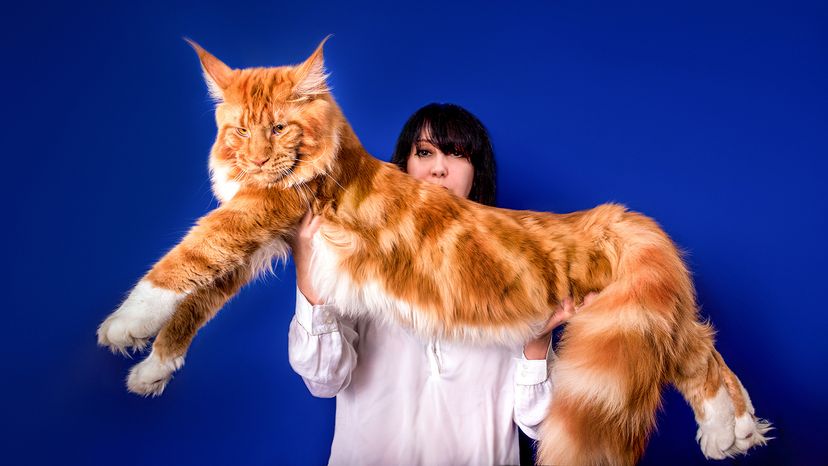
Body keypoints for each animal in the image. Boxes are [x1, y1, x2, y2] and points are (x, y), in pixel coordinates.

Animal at [95, 40, 768, 466]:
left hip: (629, 315)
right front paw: (153, 366)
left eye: (280, 129)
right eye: (240, 130)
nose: (258, 159)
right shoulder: (265, 238)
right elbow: (196, 300)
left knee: (698, 352)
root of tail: (607, 219)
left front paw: (124, 323)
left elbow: (184, 260)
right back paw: (733, 430)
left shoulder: (259, 213)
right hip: (647, 318)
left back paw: (730, 428)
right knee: (703, 351)